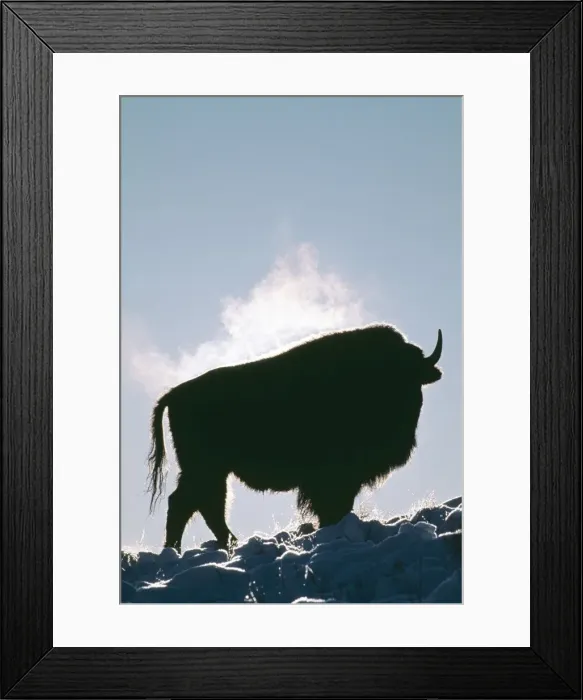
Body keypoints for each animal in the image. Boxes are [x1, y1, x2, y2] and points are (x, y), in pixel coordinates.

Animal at [146, 323, 443, 552]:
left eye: (411, 375)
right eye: (386, 373)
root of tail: (175, 394)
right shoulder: (334, 477)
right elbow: (332, 507)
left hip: (212, 472)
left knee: (202, 505)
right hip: (205, 469)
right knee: (190, 504)